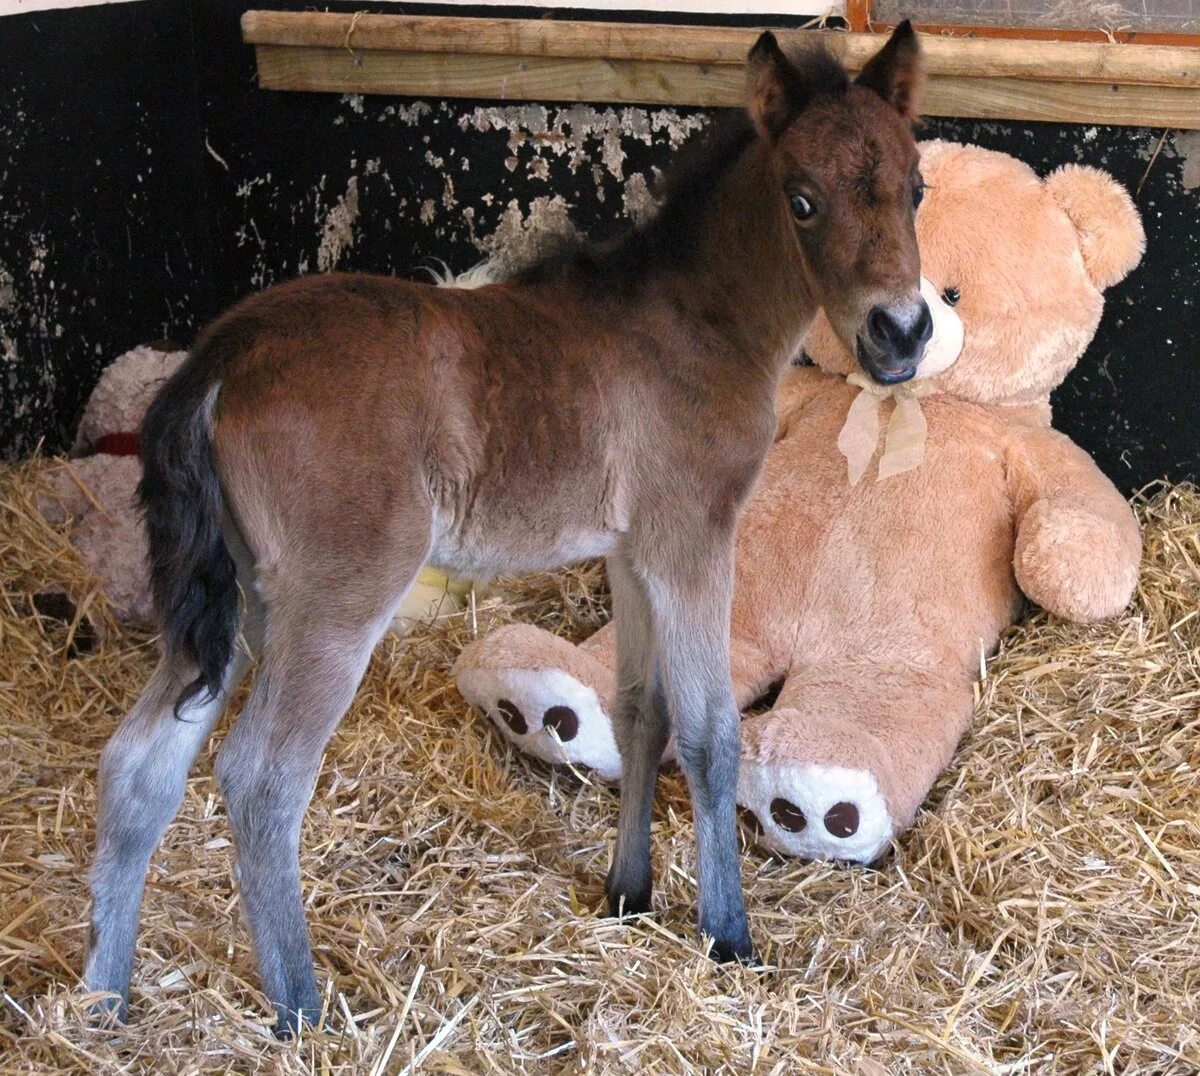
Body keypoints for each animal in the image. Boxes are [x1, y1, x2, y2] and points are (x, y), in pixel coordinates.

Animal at [84, 25, 926, 1031]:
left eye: (917, 187)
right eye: (802, 200)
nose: (902, 334)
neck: (698, 325)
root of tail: (218, 359)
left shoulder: (632, 552)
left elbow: (638, 712)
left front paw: (628, 892)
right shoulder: (693, 540)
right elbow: (710, 734)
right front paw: (728, 934)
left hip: (241, 599)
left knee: (138, 765)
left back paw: (103, 1001)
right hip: (333, 597)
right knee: (261, 780)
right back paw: (302, 1011)